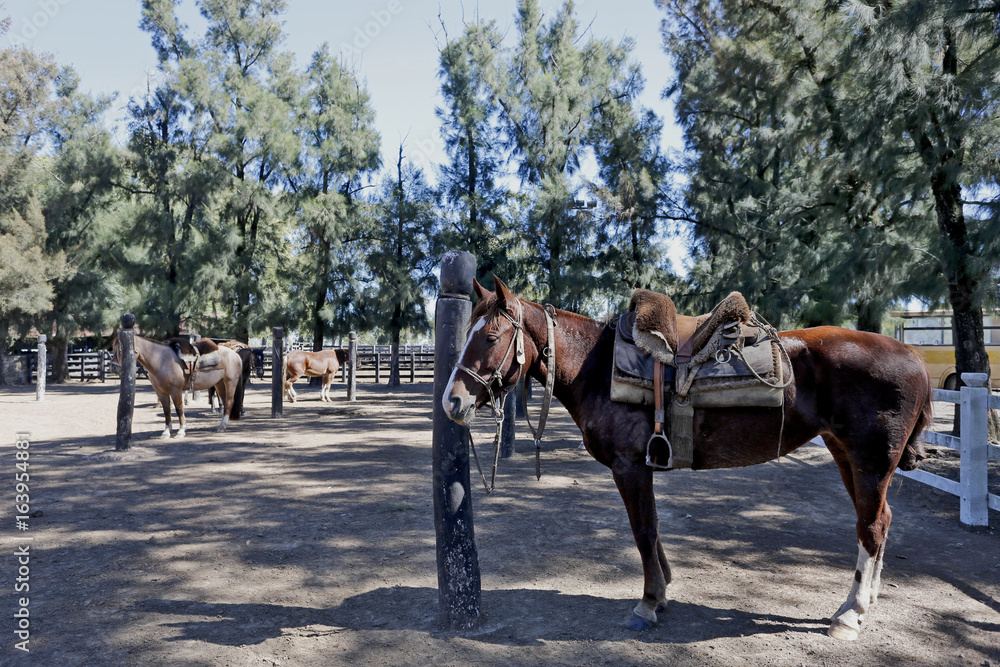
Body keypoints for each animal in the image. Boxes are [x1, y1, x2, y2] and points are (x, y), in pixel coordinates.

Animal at [112, 334, 245, 438]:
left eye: (123, 348)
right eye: (113, 348)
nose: (114, 367)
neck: (161, 360)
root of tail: (235, 354)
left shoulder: (175, 390)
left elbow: (179, 409)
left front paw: (181, 431)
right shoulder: (161, 392)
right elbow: (166, 410)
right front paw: (166, 432)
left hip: (230, 382)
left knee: (229, 402)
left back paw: (222, 427)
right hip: (219, 384)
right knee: (225, 401)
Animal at [442, 276, 932, 640]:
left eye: (490, 336)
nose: (452, 402)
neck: (596, 368)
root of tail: (913, 356)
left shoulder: (629, 467)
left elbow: (643, 532)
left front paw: (646, 604)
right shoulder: (642, 467)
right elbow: (653, 529)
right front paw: (661, 594)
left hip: (870, 460)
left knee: (871, 527)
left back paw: (850, 614)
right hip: (845, 452)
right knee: (879, 521)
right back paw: (864, 602)